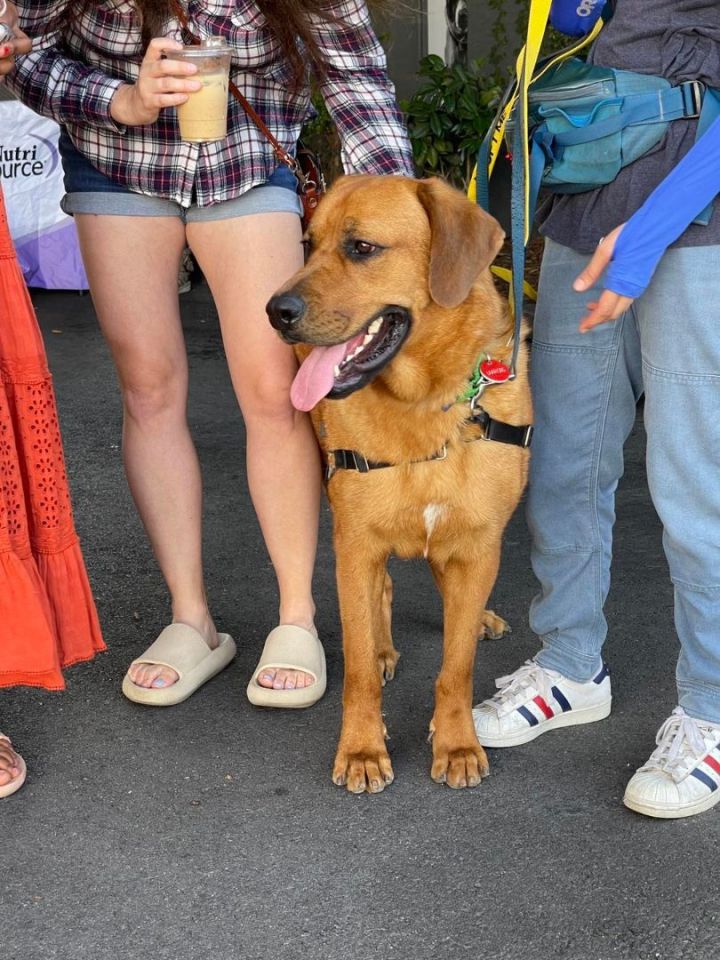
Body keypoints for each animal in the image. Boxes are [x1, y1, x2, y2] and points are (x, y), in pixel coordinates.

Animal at [268, 176, 532, 792]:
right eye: (307, 244)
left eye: (361, 247)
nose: (274, 310)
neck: (422, 405)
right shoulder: (357, 543)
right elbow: (359, 666)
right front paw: (363, 749)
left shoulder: (478, 542)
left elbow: (456, 668)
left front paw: (457, 741)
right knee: (380, 596)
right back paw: (387, 648)